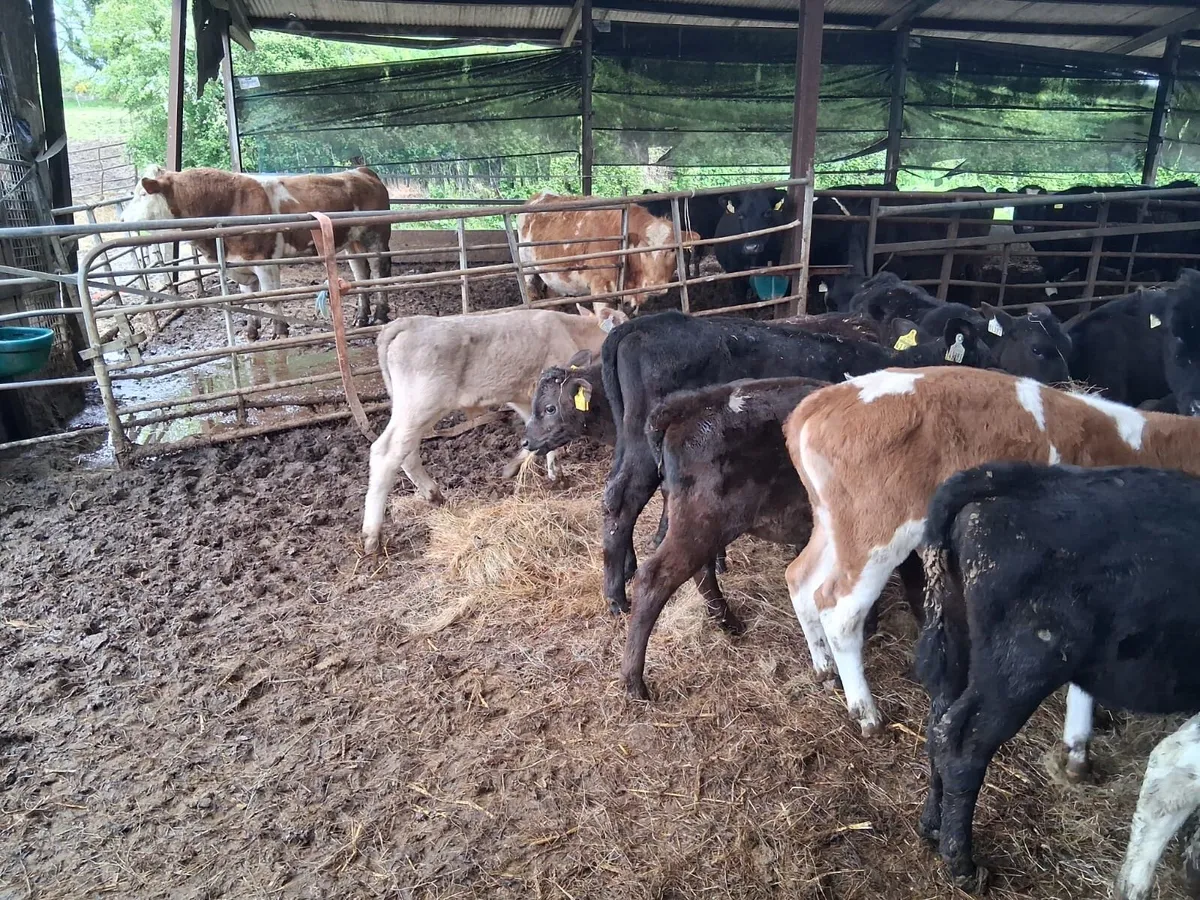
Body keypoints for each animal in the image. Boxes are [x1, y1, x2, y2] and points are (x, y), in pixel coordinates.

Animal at [120, 166, 392, 340]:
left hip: (376, 237)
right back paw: (361, 317)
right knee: (361, 274)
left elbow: (271, 298)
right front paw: (252, 331)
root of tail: (361, 171)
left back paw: (380, 315)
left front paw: (279, 332)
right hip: (351, 244)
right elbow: (248, 298)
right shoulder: (239, 263)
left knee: (379, 272)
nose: (121, 219)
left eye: (142, 193)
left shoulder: (265, 262)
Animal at [360, 303, 627, 555]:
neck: (569, 329)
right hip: (421, 405)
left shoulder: (523, 396)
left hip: (410, 409)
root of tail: (407, 323)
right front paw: (553, 473)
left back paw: (433, 494)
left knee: (407, 450)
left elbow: (536, 431)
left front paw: (530, 468)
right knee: (387, 451)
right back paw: (372, 536)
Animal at [782, 365, 1200, 780]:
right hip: (877, 532)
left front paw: (1077, 750)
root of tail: (822, 401)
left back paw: (823, 668)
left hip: (833, 523)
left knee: (800, 578)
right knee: (838, 610)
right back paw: (866, 712)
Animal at [915, 461, 1200, 893]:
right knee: (962, 743)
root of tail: (1019, 477)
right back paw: (963, 865)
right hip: (1021, 669)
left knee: (938, 722)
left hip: (956, 640)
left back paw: (933, 826)